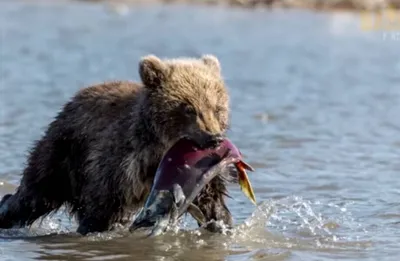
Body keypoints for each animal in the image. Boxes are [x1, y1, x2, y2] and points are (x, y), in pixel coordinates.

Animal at [0, 53, 234, 235]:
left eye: (217, 108)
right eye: (189, 109)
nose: (214, 138)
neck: (161, 150)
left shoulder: (201, 170)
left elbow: (212, 201)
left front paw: (222, 223)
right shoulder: (121, 163)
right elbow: (102, 207)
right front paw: (91, 229)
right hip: (62, 153)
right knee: (35, 193)